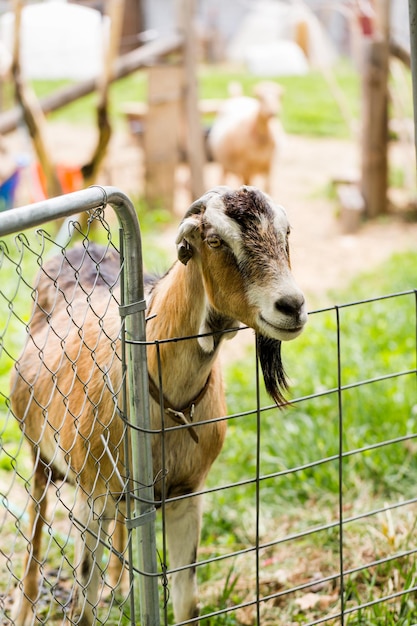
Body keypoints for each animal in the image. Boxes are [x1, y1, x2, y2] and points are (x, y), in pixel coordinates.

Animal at [9, 185, 306, 624]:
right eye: (214, 240)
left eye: (285, 233)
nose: (291, 306)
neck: (169, 402)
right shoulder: (90, 500)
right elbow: (83, 607)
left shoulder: (186, 494)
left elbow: (187, 601)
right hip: (40, 458)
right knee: (34, 530)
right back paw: (26, 606)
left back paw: (120, 584)